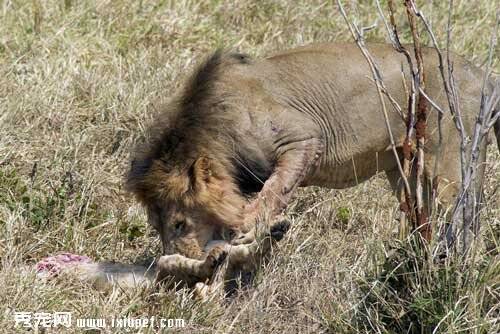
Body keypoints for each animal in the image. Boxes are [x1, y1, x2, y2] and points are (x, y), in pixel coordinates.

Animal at [128, 42, 500, 284]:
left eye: (179, 224)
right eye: (156, 227)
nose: (178, 264)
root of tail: (484, 76)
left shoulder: (305, 137)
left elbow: (274, 190)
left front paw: (251, 229)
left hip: (452, 161)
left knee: (464, 216)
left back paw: (452, 267)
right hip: (404, 170)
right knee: (424, 217)